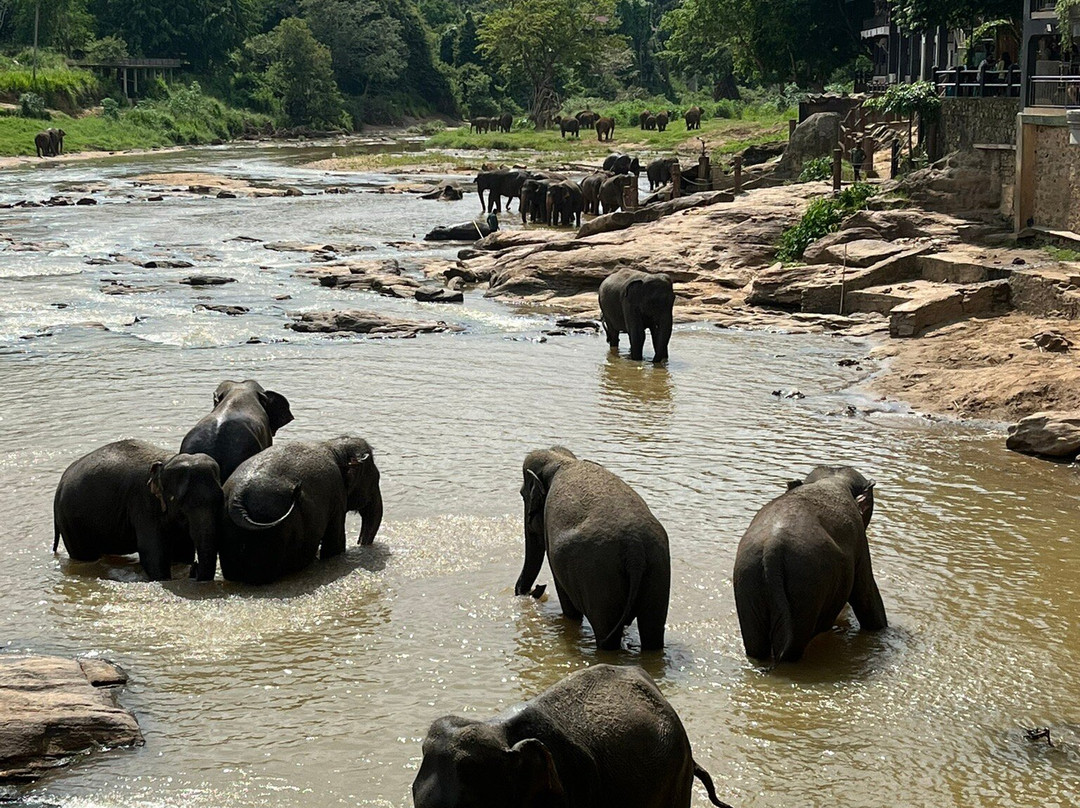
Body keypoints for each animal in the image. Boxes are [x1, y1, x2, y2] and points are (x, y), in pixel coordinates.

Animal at [53, 440, 223, 581]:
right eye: (182, 502)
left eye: (219, 499)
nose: (195, 568)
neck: (166, 461)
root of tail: (60, 485)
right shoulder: (143, 504)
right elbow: (152, 554)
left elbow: (183, 549)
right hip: (71, 523)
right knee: (85, 556)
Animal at [219, 436, 383, 584]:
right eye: (376, 478)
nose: (360, 544)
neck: (333, 446)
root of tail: (237, 497)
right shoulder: (337, 495)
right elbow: (334, 544)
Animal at [515, 446, 670, 651]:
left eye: (522, 494)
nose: (538, 587)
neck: (559, 459)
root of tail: (635, 548)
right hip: (657, 569)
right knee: (652, 630)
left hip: (599, 577)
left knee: (606, 632)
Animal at [733, 465, 886, 664]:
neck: (831, 481)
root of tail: (772, 549)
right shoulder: (860, 542)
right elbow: (866, 594)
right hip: (806, 586)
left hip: (747, 578)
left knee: (757, 646)